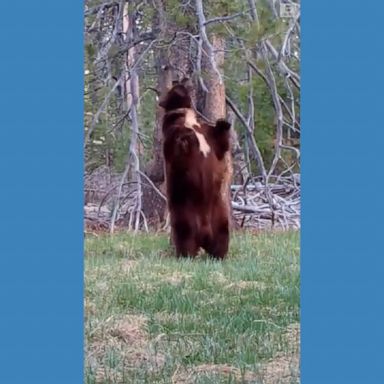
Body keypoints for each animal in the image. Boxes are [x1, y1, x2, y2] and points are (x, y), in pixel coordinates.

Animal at [159, 82, 231, 260]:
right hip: (185, 215)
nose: (180, 84)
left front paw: (223, 122)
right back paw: (186, 255)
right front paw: (186, 138)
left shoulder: (207, 133)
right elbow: (176, 145)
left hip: (220, 217)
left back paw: (219, 255)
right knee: (185, 238)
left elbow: (221, 143)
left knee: (222, 238)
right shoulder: (172, 134)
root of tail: (205, 235)